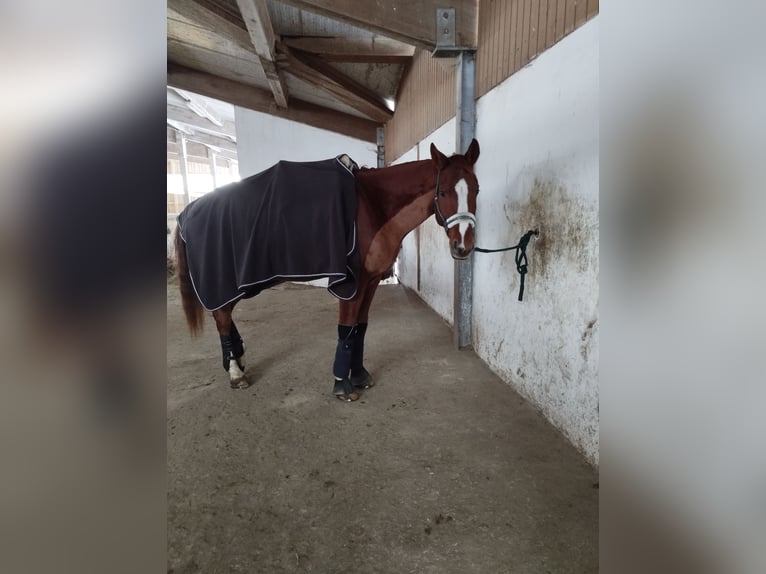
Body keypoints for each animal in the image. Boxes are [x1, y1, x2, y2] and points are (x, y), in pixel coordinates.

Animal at [177, 140, 484, 402]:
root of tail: (187, 213)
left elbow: (360, 329)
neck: (372, 206)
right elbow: (346, 330)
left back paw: (237, 360)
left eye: (477, 189)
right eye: (443, 192)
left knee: (224, 315)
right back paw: (235, 373)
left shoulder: (371, 280)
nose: (463, 246)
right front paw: (342, 385)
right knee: (221, 317)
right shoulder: (353, 282)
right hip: (223, 282)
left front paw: (359, 375)